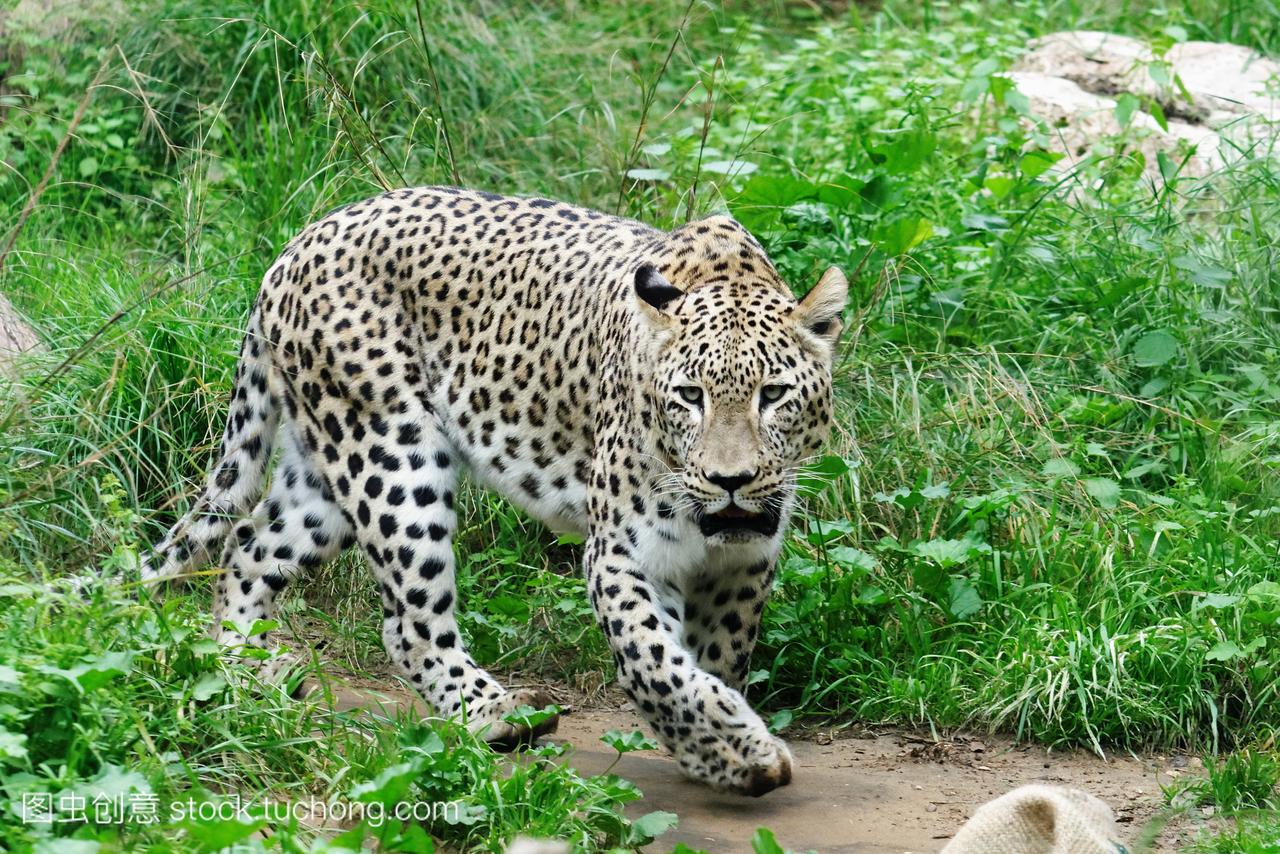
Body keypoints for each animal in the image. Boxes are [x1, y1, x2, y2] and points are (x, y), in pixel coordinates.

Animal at [142, 185, 849, 793]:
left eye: (773, 394)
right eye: (690, 397)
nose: (732, 481)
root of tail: (296, 244)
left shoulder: (745, 561)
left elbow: (715, 656)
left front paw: (713, 751)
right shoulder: (624, 552)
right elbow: (655, 660)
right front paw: (738, 748)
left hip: (323, 474)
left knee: (249, 546)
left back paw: (243, 675)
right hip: (392, 453)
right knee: (406, 622)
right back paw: (497, 714)